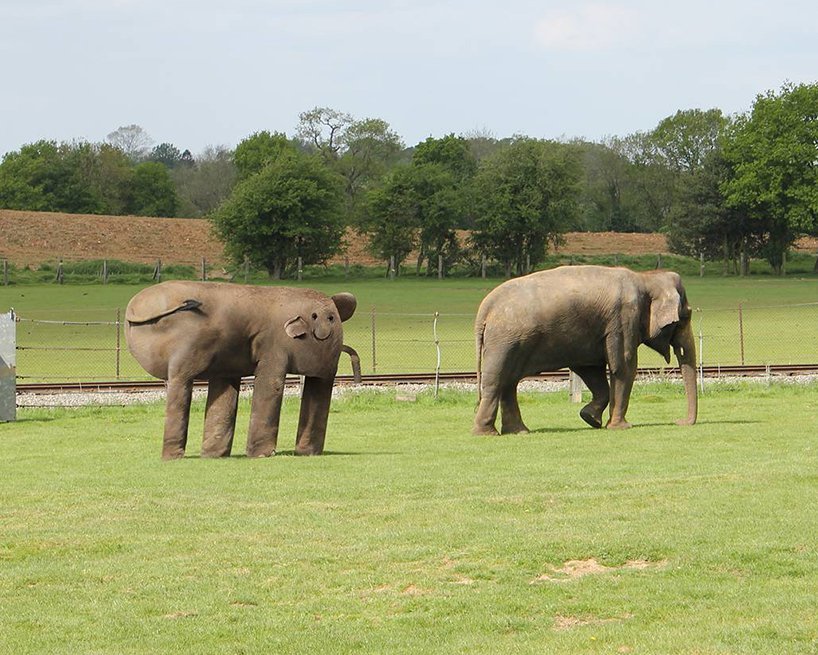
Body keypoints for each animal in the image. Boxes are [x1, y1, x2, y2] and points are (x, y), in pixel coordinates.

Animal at [126, 282, 356, 462]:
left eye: (332, 318)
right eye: (315, 316)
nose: (324, 330)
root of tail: (134, 307)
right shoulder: (274, 345)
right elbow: (271, 384)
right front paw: (261, 455)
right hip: (187, 347)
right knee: (180, 380)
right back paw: (172, 458)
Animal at [472, 266, 696, 436]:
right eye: (685, 316)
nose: (679, 421)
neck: (645, 278)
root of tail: (485, 308)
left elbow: (591, 370)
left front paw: (591, 419)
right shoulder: (623, 320)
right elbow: (624, 367)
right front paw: (621, 427)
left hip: (509, 342)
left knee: (508, 382)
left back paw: (518, 432)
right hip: (504, 342)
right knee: (496, 381)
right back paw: (487, 433)